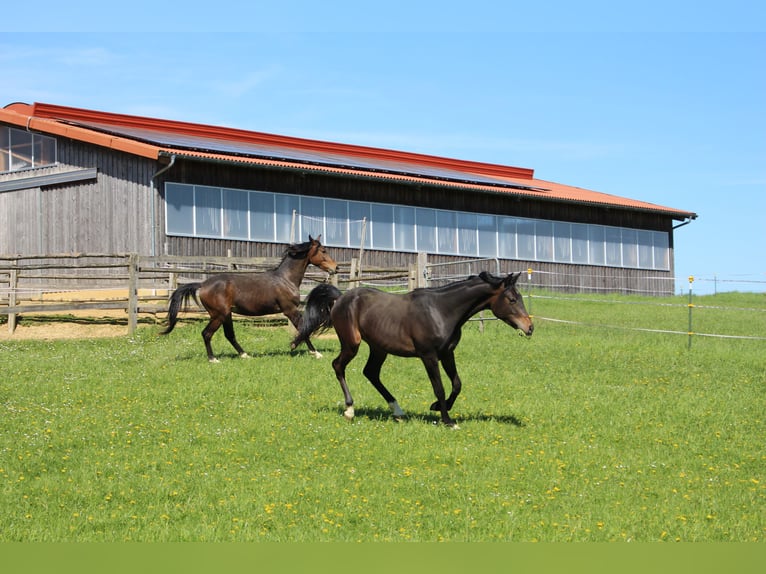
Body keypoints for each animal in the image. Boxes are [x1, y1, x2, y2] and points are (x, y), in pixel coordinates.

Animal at [162, 235, 337, 362]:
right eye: (323, 250)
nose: (335, 268)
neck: (285, 279)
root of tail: (202, 284)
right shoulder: (290, 310)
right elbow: (303, 329)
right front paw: (314, 352)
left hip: (226, 315)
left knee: (229, 335)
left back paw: (245, 355)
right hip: (218, 315)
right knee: (207, 333)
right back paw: (213, 359)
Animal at [292, 271, 533, 427]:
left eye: (519, 297)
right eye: (512, 299)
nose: (530, 327)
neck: (441, 310)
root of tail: (340, 297)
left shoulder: (447, 353)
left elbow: (457, 384)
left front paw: (437, 407)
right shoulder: (429, 356)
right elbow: (440, 388)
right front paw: (447, 420)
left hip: (379, 348)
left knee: (371, 373)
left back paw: (397, 411)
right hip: (352, 344)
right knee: (338, 366)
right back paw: (350, 410)